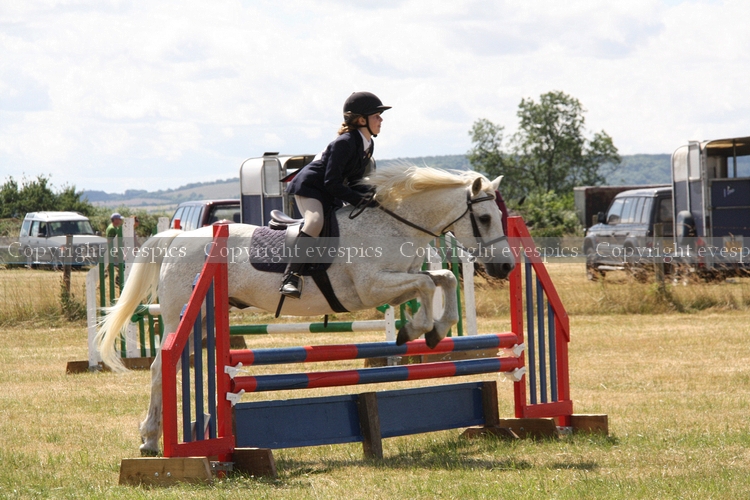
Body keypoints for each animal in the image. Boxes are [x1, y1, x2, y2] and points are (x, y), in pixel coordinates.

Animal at [96, 166, 515, 455]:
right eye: (484, 218)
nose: (505, 268)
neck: (393, 225)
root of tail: (179, 236)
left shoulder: (400, 282)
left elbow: (444, 278)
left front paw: (435, 330)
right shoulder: (373, 286)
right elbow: (429, 285)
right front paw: (415, 331)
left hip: (203, 322)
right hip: (180, 317)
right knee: (159, 369)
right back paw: (151, 440)